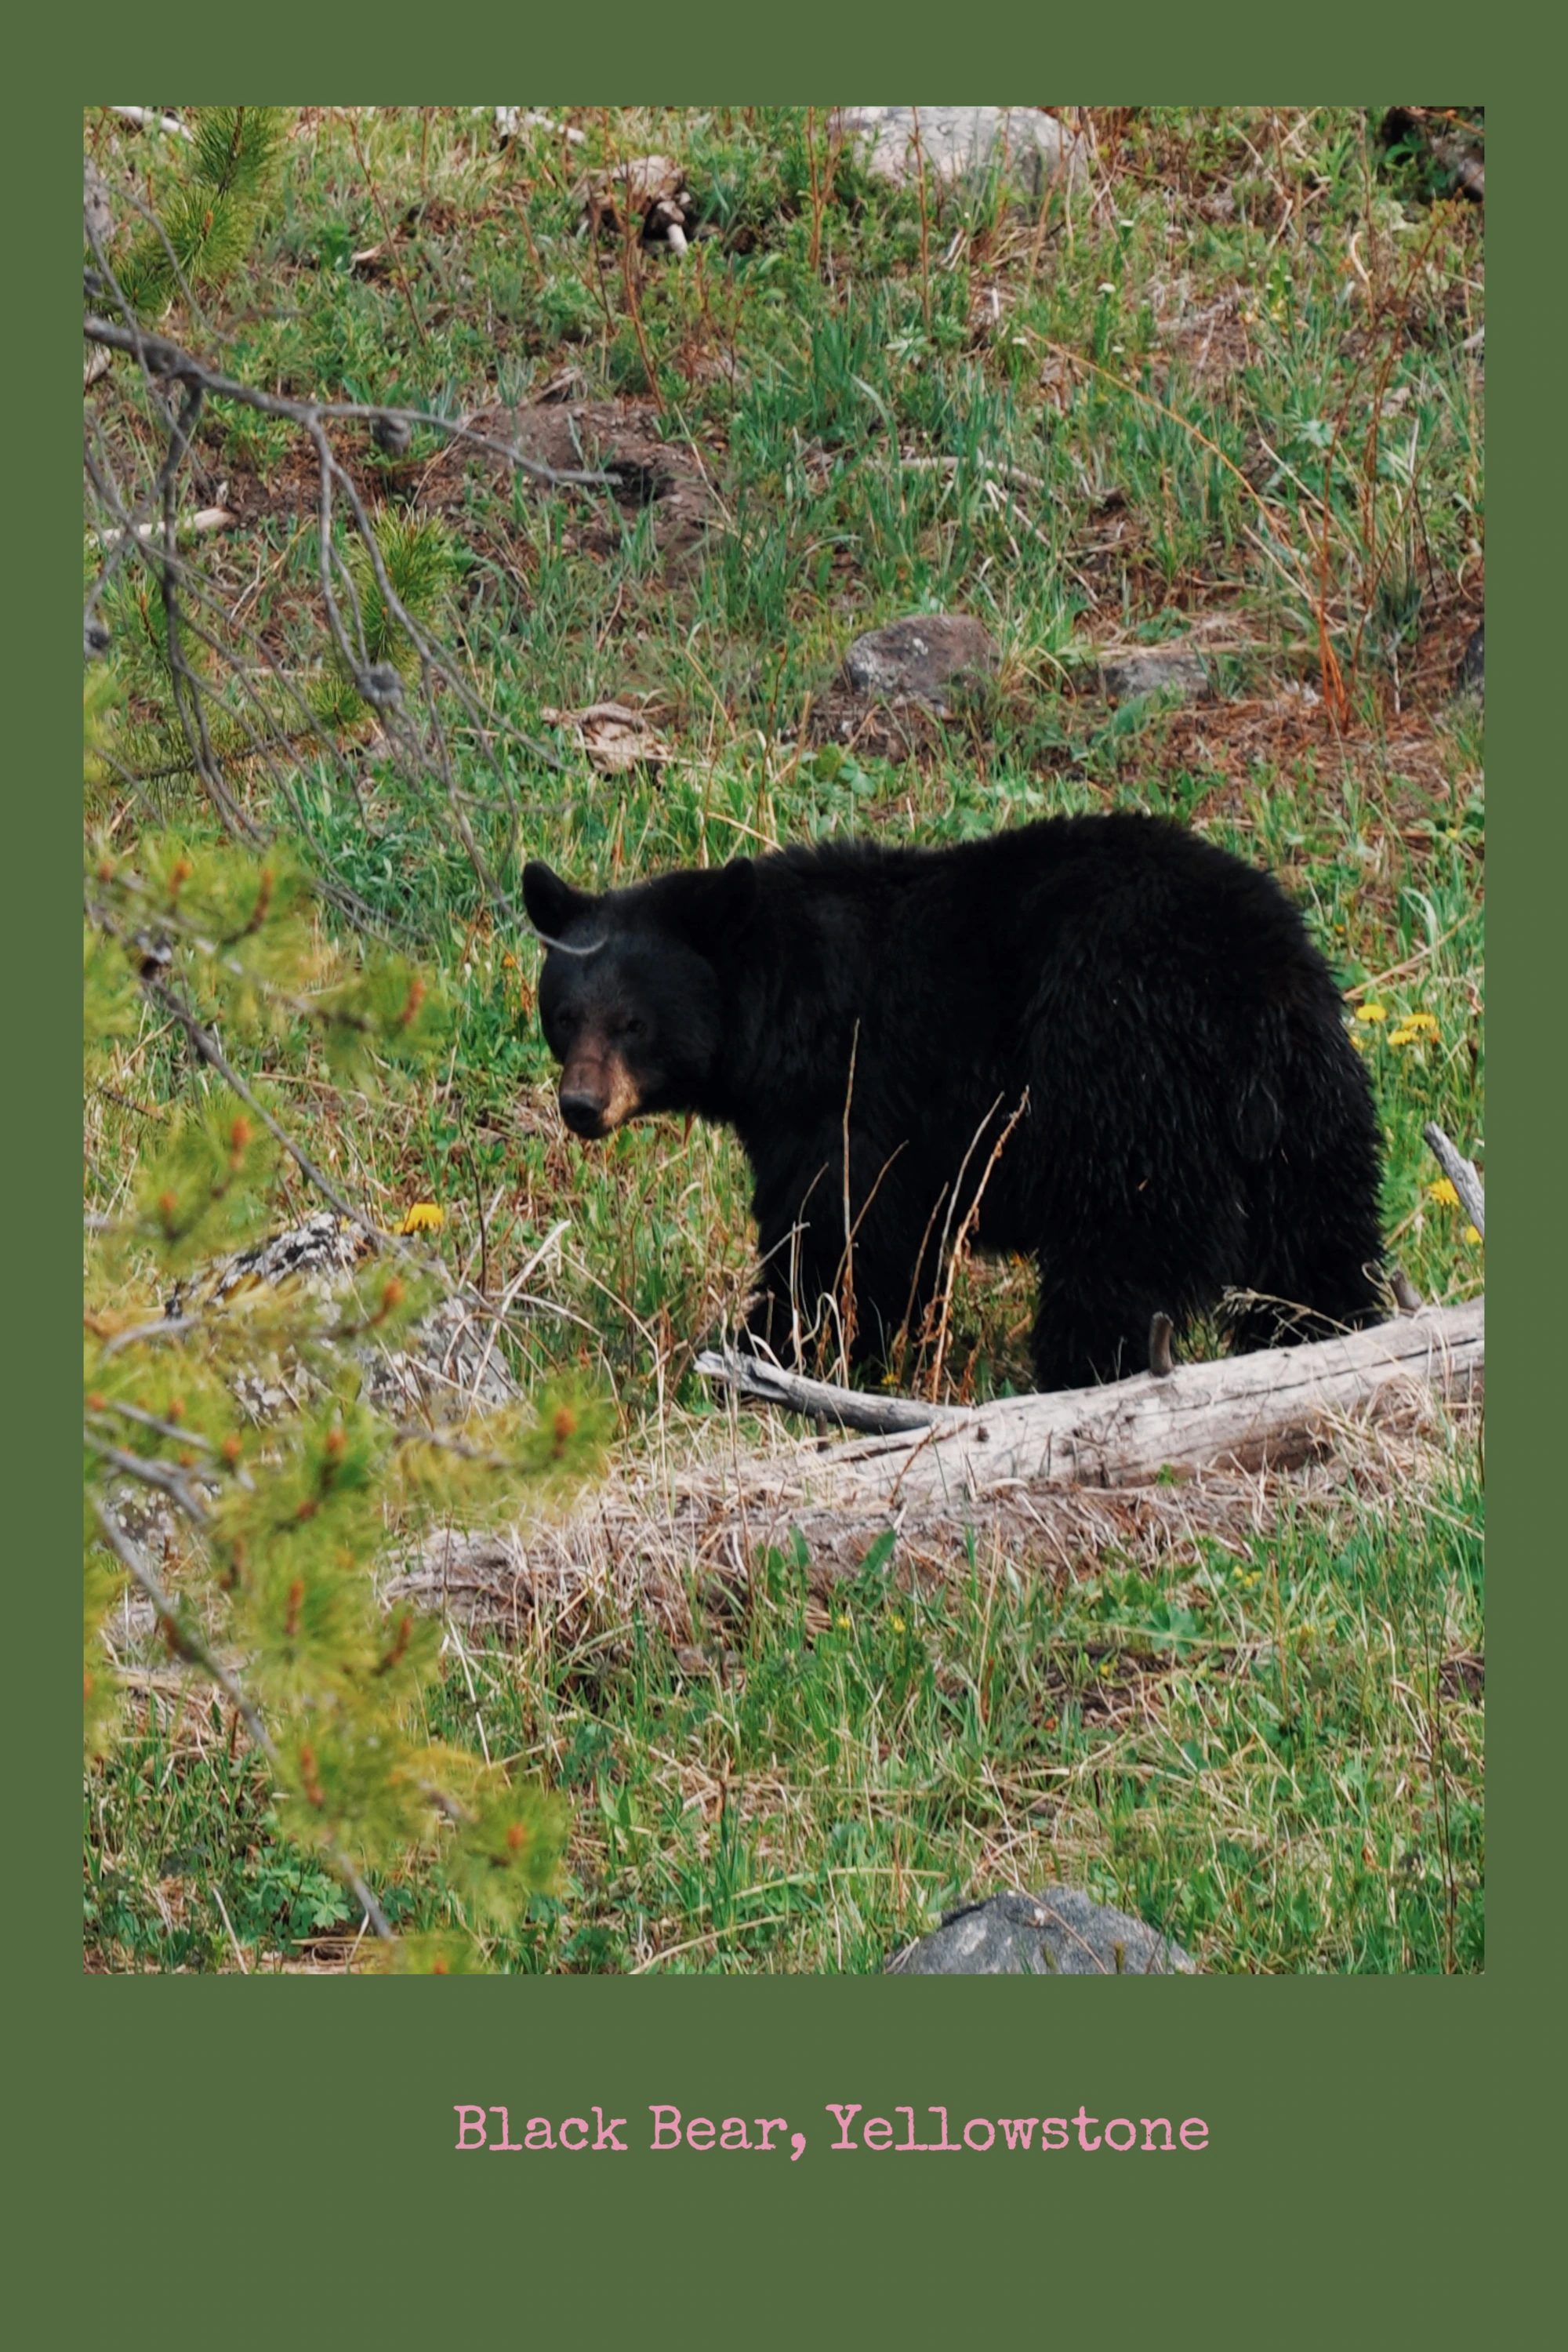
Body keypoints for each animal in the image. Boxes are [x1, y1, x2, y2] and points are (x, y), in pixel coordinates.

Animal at [522, 811, 1384, 1393]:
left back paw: (1078, 1376)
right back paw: (1328, 1341)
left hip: (1123, 1086)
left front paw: (772, 1347)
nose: (581, 1105)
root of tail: (1250, 990)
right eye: (564, 1015)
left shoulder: (853, 1088)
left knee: (1119, 1258)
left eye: (633, 1023)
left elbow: (839, 1230)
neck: (780, 1007)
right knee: (1316, 1246)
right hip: (1314, 1113)